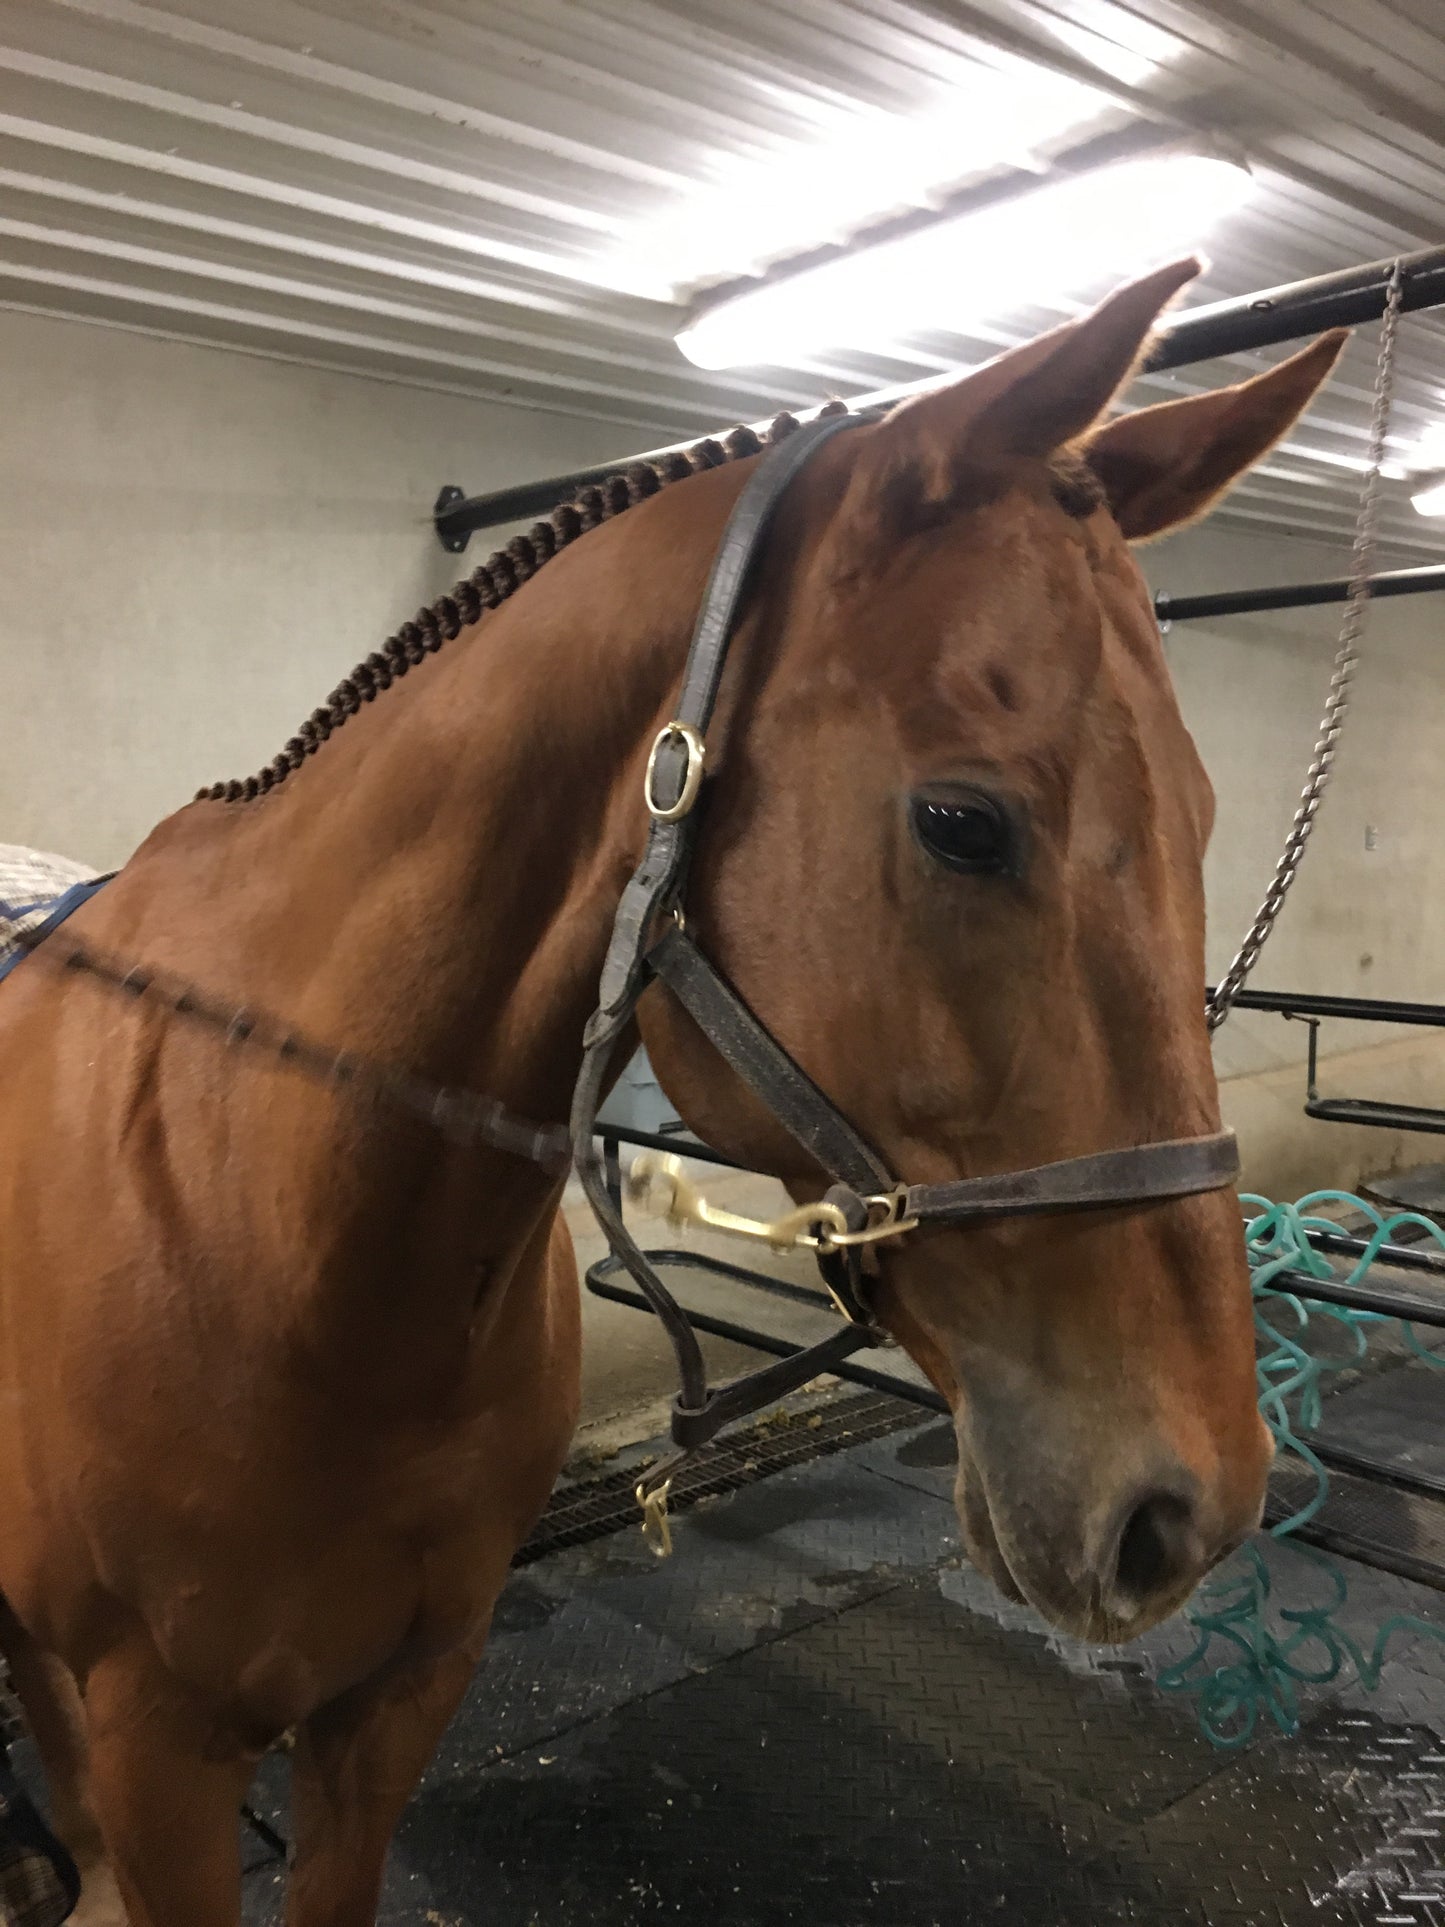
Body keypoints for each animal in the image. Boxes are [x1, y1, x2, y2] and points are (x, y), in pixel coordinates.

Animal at [0, 255, 1344, 1924]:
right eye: (963, 822)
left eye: (1205, 813)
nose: (1195, 1505)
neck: (273, 1220)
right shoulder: (168, 1752)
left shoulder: (393, 1704)